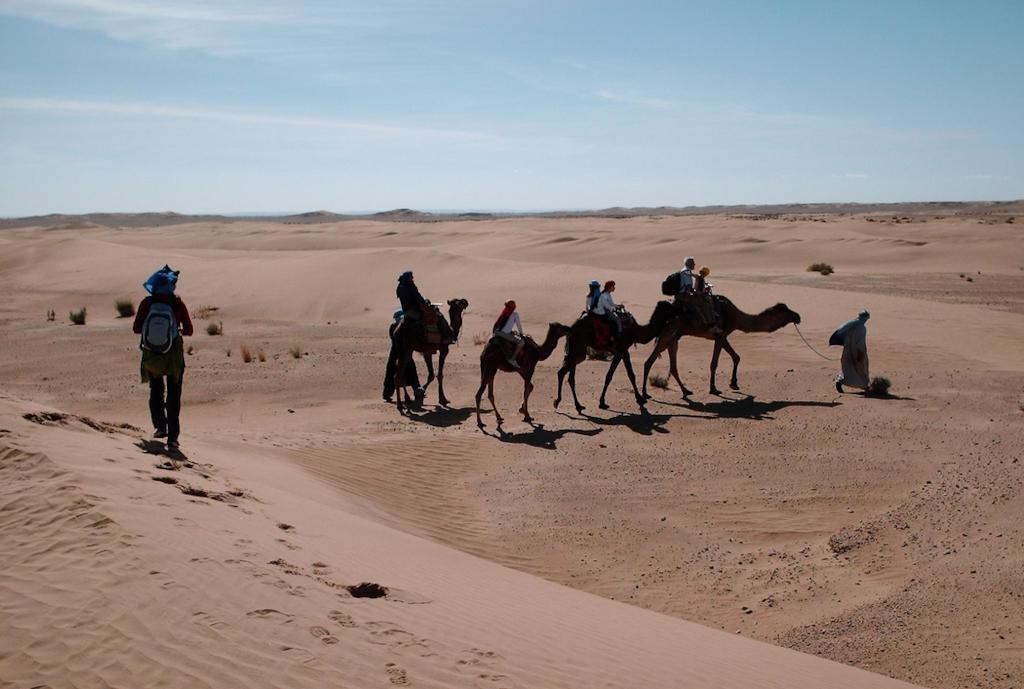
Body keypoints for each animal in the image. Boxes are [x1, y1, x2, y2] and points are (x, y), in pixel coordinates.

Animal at [638, 294, 798, 397]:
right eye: (784, 310)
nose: (798, 316)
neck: (736, 316)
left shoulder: (721, 336)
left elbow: (736, 357)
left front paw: (733, 383)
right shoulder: (721, 335)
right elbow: (715, 363)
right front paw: (714, 389)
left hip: (674, 337)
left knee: (671, 365)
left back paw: (686, 391)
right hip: (668, 333)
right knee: (649, 361)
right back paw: (645, 394)